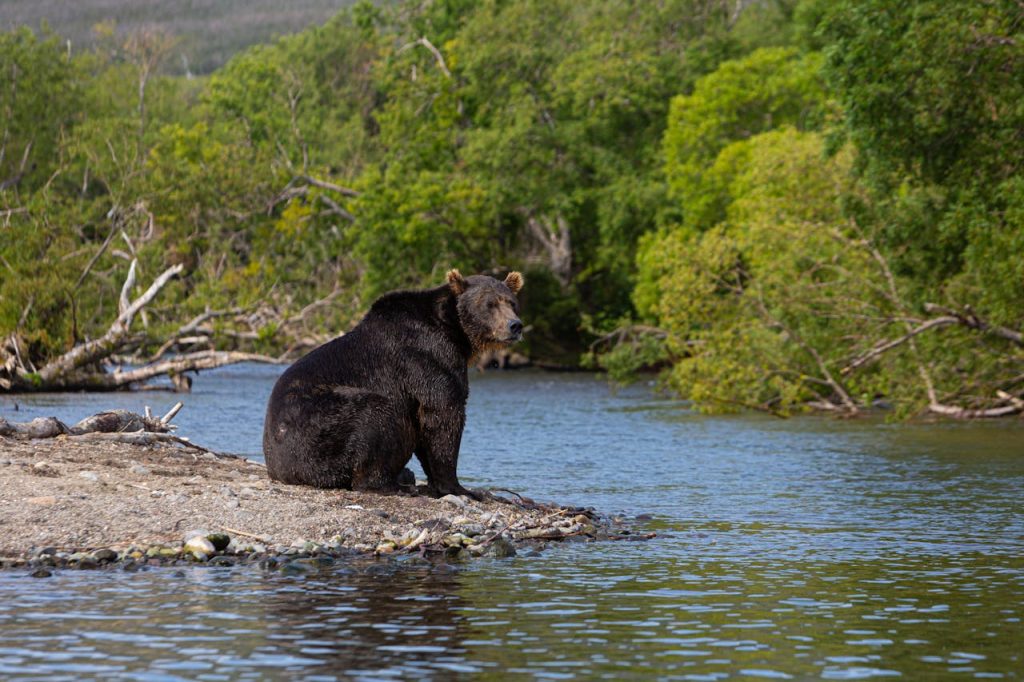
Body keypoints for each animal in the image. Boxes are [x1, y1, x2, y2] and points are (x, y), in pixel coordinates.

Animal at [262, 269, 524, 499]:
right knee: (377, 414)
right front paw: (461, 488)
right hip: (320, 427)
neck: (456, 332)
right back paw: (394, 484)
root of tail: (278, 468)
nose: (515, 325)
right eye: (489, 304)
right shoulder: (426, 358)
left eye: (511, 302)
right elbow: (443, 414)